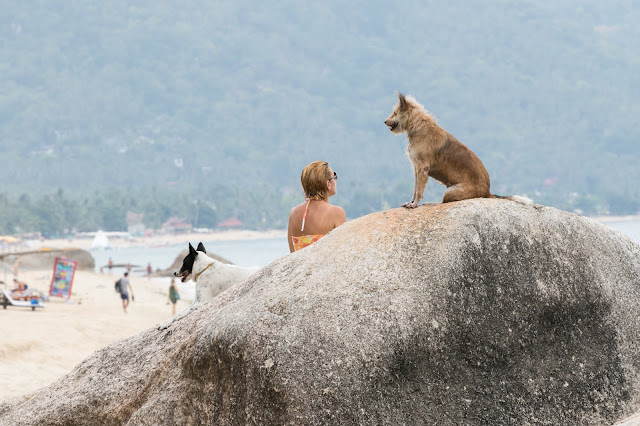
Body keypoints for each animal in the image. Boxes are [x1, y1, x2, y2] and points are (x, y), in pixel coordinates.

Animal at [384, 92, 524, 209]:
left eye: (395, 112)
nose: (385, 121)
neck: (419, 128)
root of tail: (487, 192)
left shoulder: (422, 168)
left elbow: (419, 190)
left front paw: (414, 204)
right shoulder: (416, 168)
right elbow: (415, 189)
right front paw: (411, 202)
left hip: (450, 192)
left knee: (444, 202)